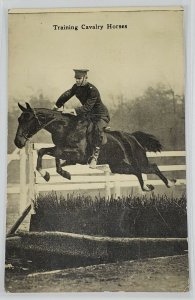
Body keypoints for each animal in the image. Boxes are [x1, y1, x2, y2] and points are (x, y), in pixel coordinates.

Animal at [14, 102, 177, 192]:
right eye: (19, 119)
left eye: (28, 119)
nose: (18, 142)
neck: (65, 126)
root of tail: (133, 137)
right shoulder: (64, 152)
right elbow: (45, 152)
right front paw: (56, 174)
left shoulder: (76, 155)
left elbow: (49, 153)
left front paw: (50, 173)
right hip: (118, 166)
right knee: (142, 170)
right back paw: (157, 185)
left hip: (136, 161)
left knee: (149, 168)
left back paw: (164, 184)